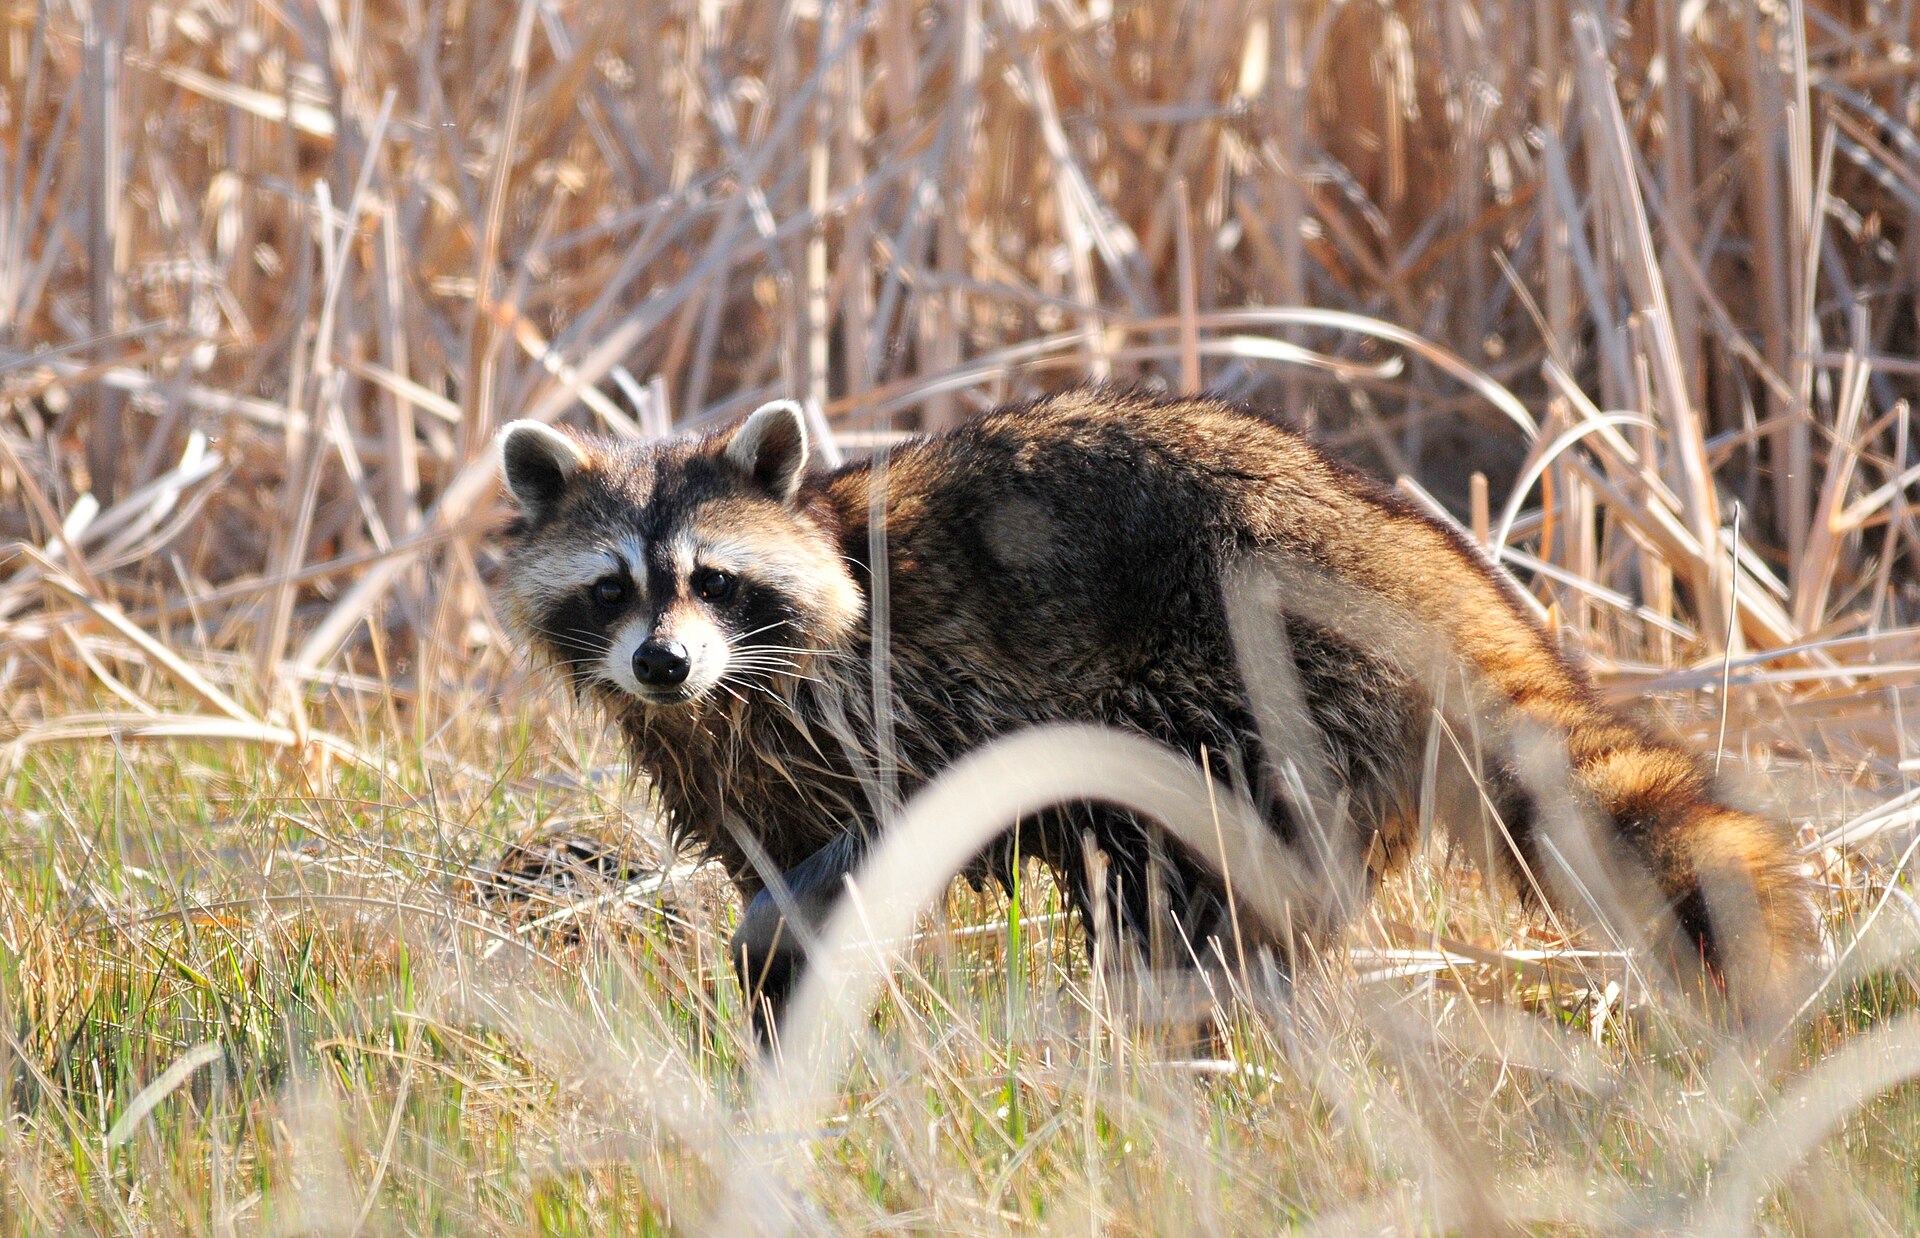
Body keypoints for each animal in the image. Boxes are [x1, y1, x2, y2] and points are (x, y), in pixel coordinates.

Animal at [494, 389, 1818, 1034]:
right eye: (611, 586)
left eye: (713, 578)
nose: (662, 661)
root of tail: (1393, 545)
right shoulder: (736, 761)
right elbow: (778, 868)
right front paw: (779, 1008)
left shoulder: (904, 692)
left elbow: (889, 827)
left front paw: (786, 942)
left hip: (1246, 681)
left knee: (1178, 884)